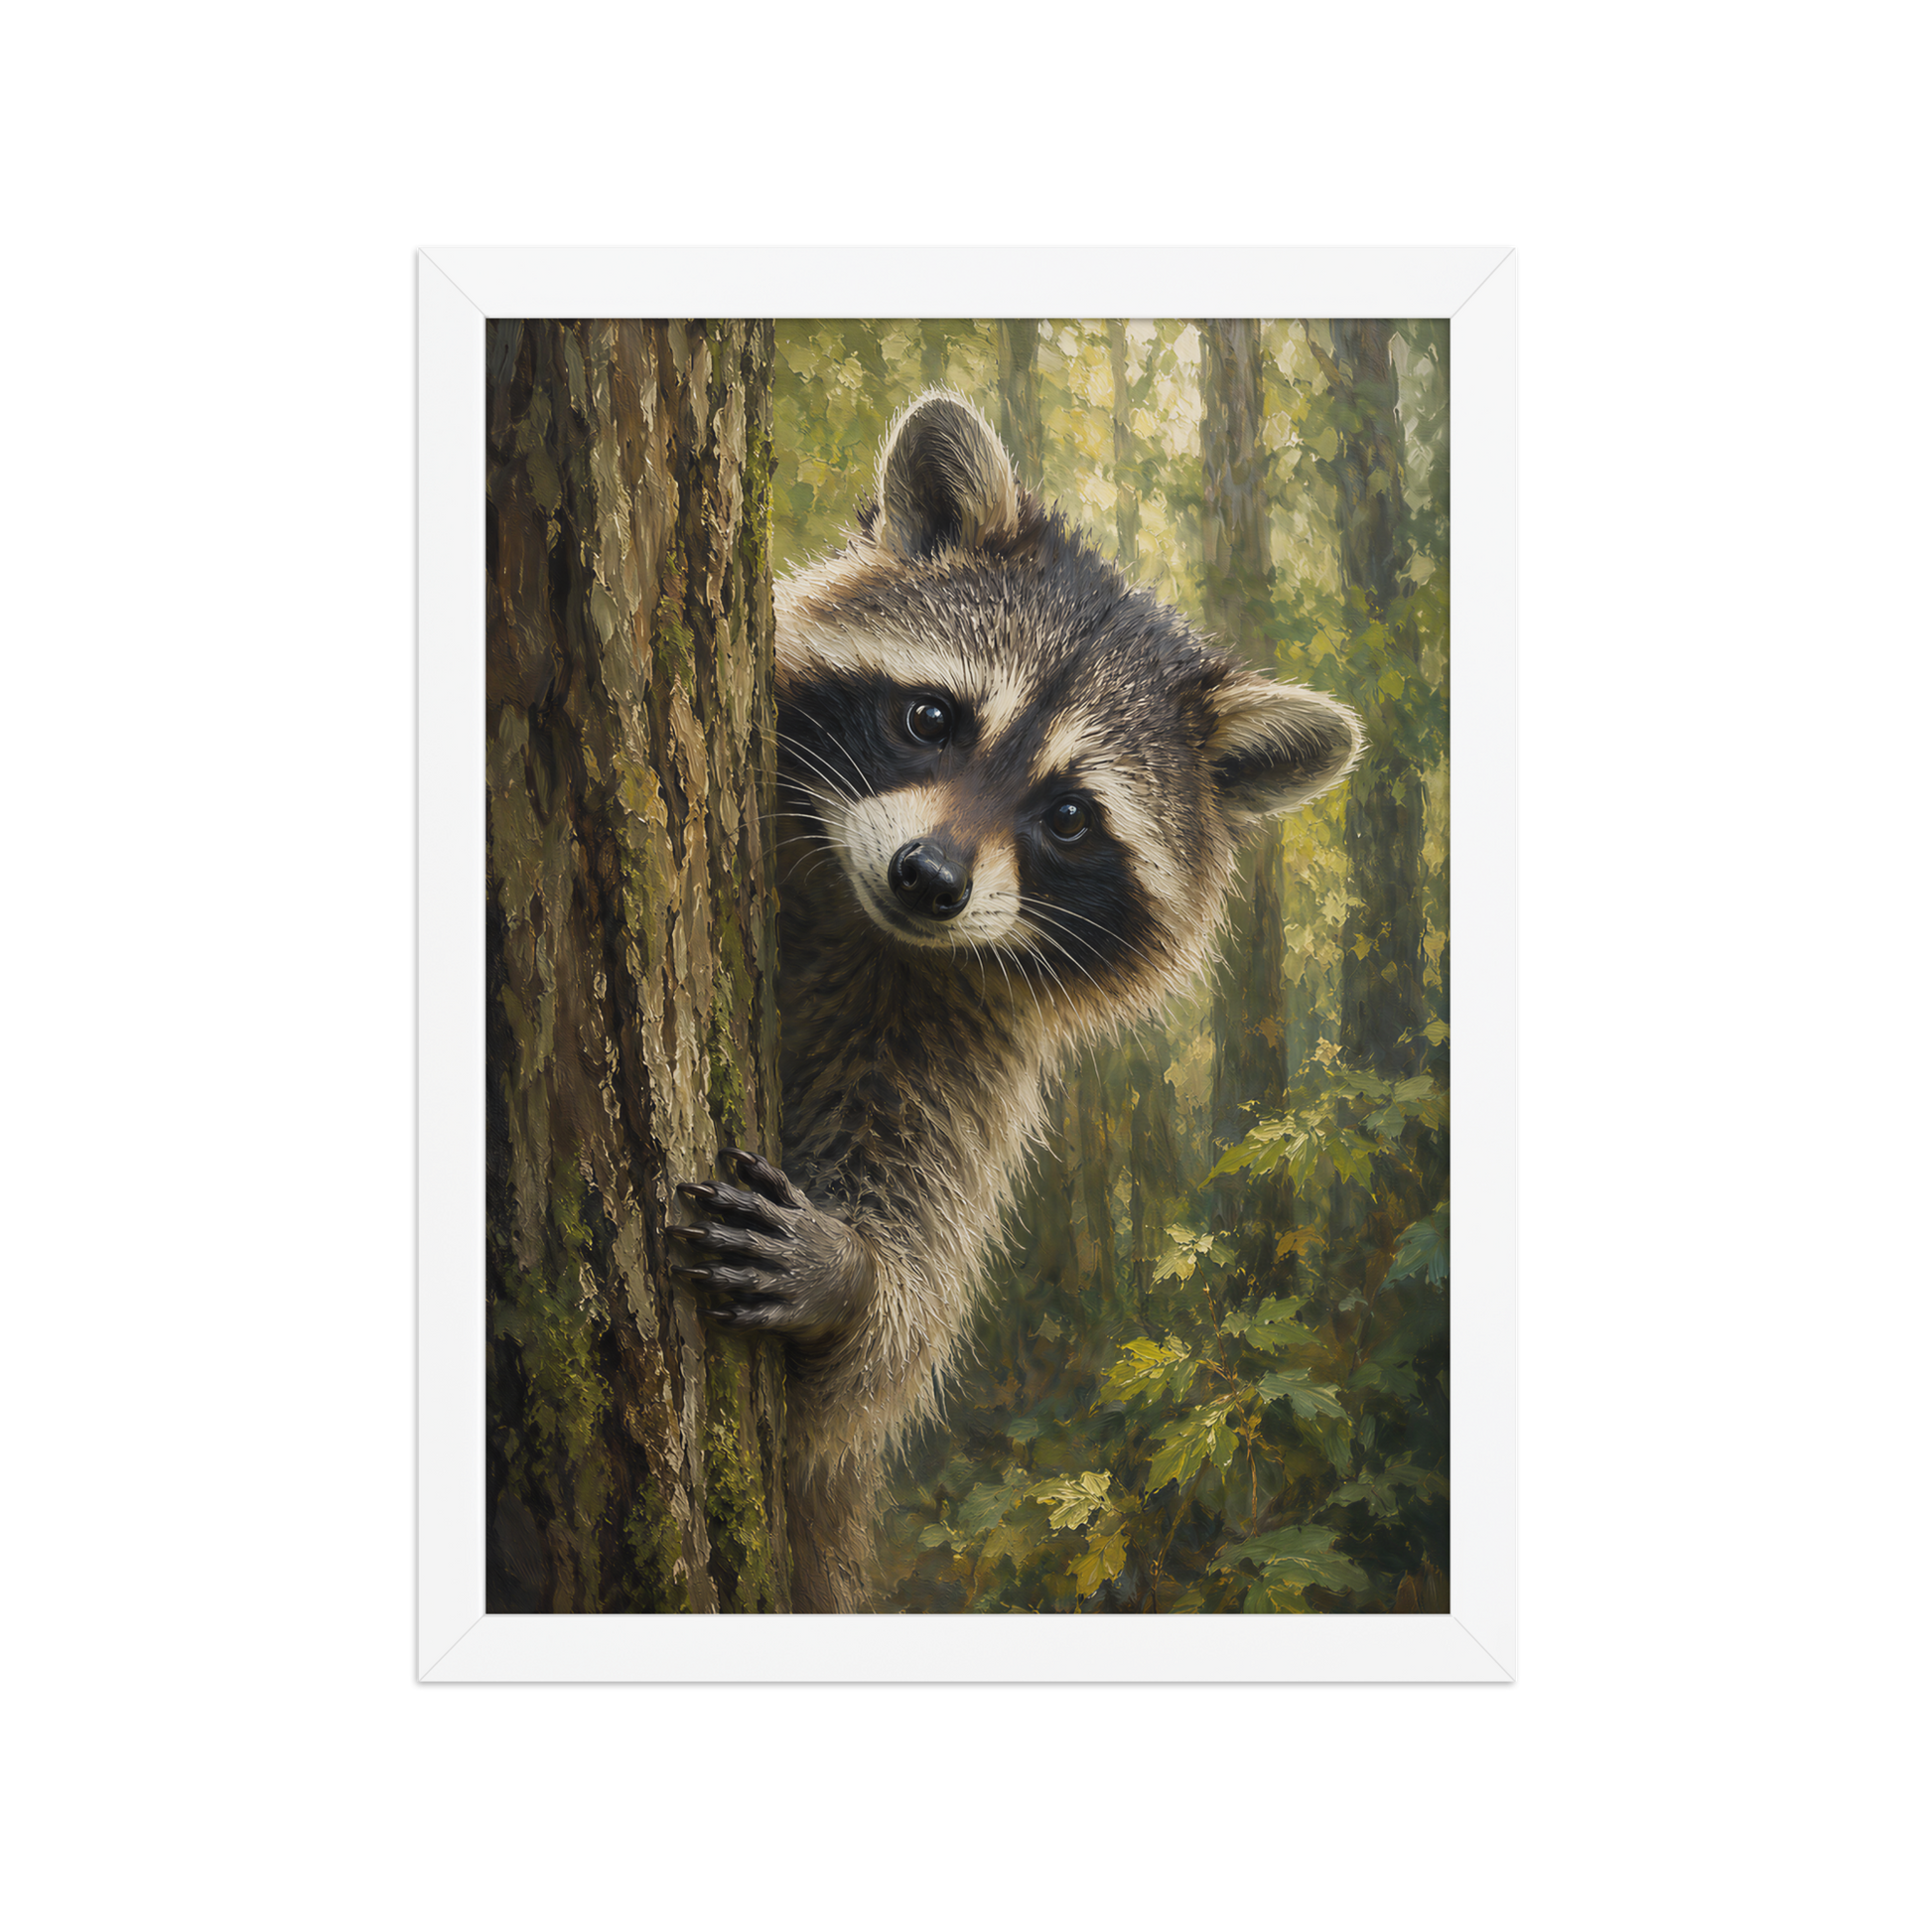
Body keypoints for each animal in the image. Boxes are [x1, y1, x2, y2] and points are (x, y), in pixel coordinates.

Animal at [671, 389, 1361, 1612]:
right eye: (931, 719)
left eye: (1071, 817)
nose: (929, 880)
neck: (865, 926)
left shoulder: (959, 1048)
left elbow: (882, 1352)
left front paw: (855, 1279)